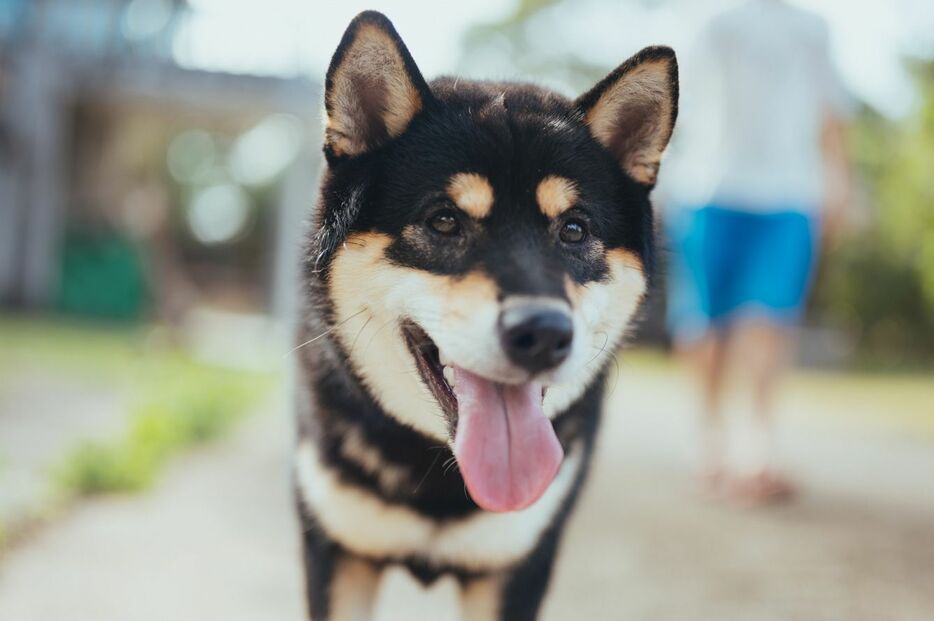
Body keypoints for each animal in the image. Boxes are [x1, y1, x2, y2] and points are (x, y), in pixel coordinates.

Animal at [294, 10, 680, 620]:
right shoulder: (336, 550)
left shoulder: (518, 565)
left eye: (574, 230)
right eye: (444, 221)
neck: (441, 477)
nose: (543, 333)